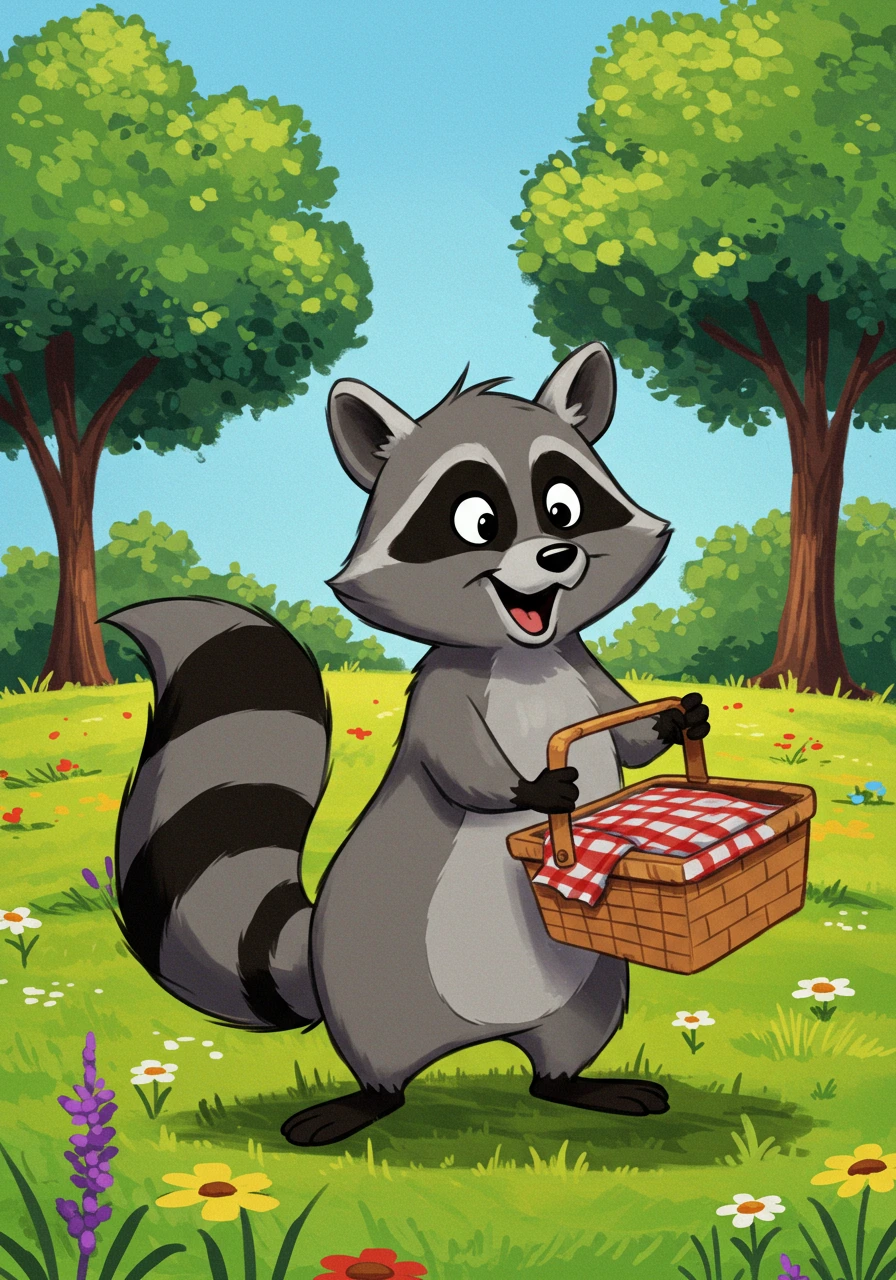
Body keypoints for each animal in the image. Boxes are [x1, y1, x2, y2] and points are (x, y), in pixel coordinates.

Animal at [106, 341, 709, 1147]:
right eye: (478, 521)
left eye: (565, 506)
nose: (556, 555)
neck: (522, 654)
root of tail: (478, 1035)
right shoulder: (441, 698)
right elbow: (457, 766)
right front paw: (530, 790)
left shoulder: (582, 671)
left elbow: (630, 731)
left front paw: (678, 724)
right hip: (370, 979)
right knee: (380, 1063)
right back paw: (364, 1101)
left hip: (590, 982)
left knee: (560, 1059)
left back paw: (577, 1085)